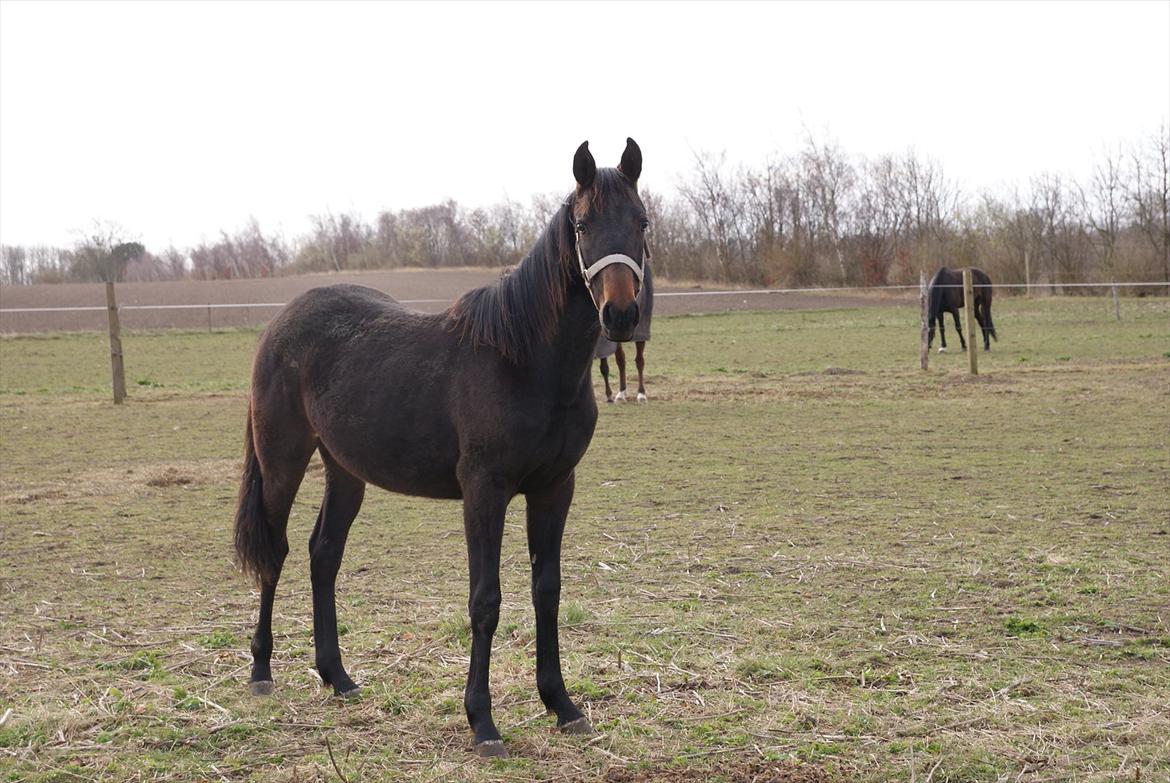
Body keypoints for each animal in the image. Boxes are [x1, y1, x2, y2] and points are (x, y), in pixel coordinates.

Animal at [599, 256, 655, 402]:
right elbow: (615, 361)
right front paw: (613, 394)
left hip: (640, 333)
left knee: (640, 360)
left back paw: (641, 393)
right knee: (621, 360)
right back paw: (622, 393)